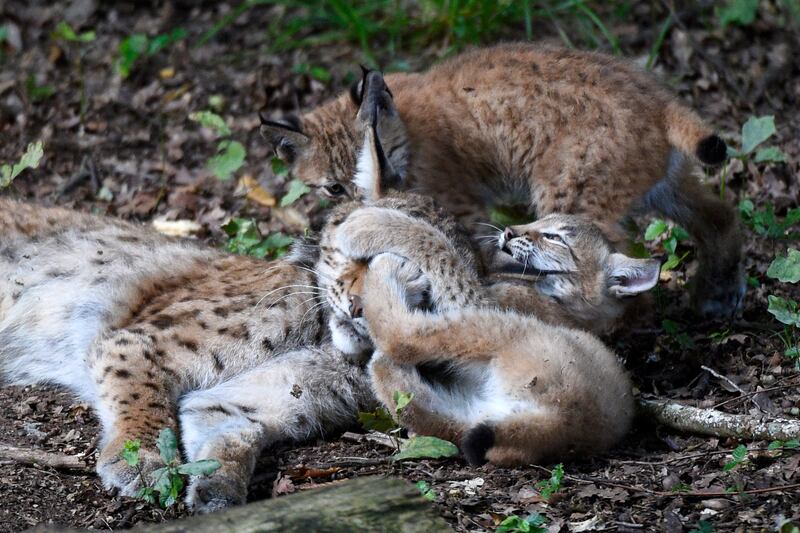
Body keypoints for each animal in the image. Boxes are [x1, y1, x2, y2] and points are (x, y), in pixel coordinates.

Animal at [262, 44, 744, 316]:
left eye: (377, 149)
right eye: (333, 187)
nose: (362, 196)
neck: (409, 130)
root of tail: (657, 97)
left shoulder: (463, 204)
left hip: (569, 191)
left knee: (611, 267)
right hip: (663, 183)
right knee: (721, 214)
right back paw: (716, 295)